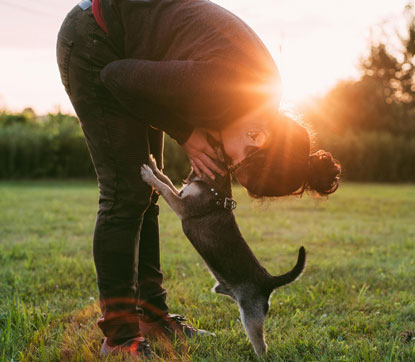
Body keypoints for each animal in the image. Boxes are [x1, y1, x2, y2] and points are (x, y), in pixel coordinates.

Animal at [141, 154, 308, 354]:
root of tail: (268, 280)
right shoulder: (180, 194)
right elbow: (166, 180)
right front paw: (154, 166)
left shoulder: (182, 206)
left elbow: (164, 187)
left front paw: (149, 175)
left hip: (251, 316)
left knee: (262, 345)